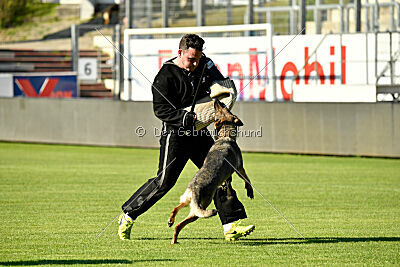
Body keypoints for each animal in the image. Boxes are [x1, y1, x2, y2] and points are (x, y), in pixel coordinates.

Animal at [167, 99, 255, 245]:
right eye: (222, 109)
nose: (216, 100)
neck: (225, 135)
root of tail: (195, 188)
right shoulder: (239, 168)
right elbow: (247, 179)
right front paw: (250, 190)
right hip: (200, 209)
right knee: (180, 224)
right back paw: (174, 238)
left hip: (187, 201)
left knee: (175, 211)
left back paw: (171, 223)